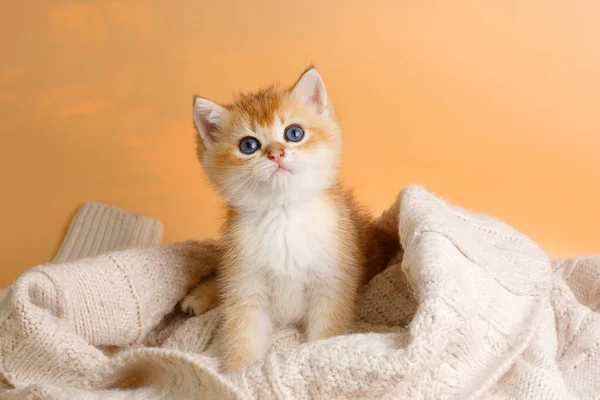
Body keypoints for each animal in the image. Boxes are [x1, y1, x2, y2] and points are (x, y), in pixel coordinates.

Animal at [180, 67, 394, 374]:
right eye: (248, 145)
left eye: (294, 133)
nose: (276, 153)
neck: (282, 216)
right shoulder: (245, 286)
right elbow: (242, 338)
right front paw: (235, 375)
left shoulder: (331, 285)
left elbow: (324, 337)